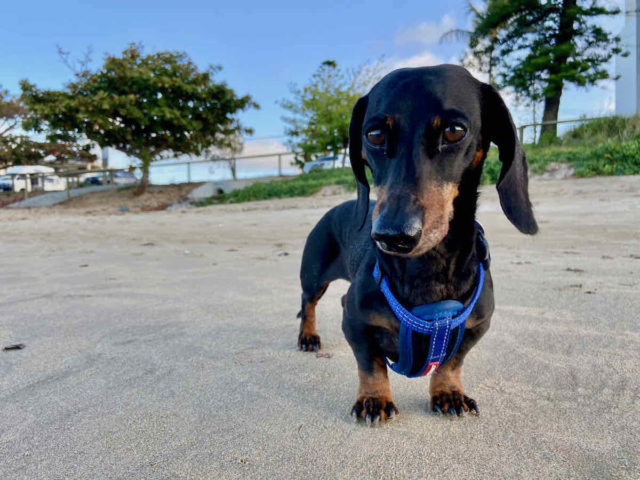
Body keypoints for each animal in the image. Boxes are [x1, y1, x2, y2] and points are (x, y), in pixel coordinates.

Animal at [298, 64, 536, 424]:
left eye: (454, 131)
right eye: (374, 135)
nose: (392, 235)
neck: (429, 268)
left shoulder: (477, 326)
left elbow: (452, 362)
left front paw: (448, 392)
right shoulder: (355, 320)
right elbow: (371, 363)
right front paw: (374, 399)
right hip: (313, 275)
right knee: (308, 302)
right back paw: (308, 336)